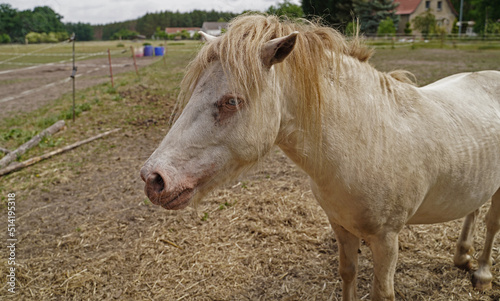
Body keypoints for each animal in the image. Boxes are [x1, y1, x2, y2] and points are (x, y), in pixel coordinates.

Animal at [141, 14, 500, 300]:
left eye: (232, 101)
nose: (153, 178)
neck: (368, 140)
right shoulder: (340, 226)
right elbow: (348, 273)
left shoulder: (386, 239)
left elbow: (381, 292)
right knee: (473, 208)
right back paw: (462, 257)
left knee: (491, 223)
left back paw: (482, 273)